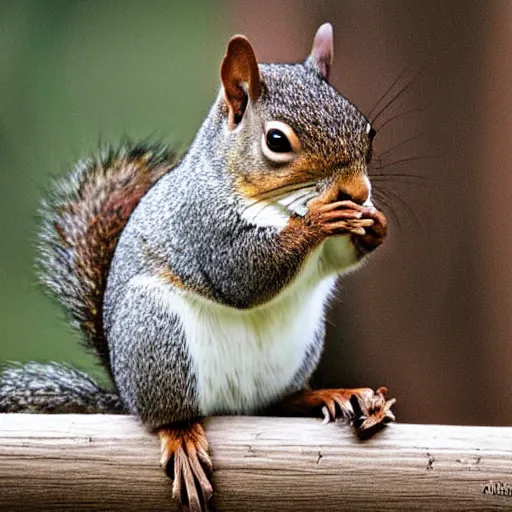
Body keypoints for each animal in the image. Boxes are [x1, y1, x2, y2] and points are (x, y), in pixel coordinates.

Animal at [0, 24, 396, 512]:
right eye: (277, 141)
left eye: (369, 130)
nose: (357, 193)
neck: (276, 204)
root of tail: (125, 393)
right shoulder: (202, 226)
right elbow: (242, 277)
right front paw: (319, 219)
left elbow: (339, 257)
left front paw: (374, 223)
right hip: (156, 337)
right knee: (166, 415)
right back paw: (181, 435)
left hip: (302, 344)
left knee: (279, 401)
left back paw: (334, 395)